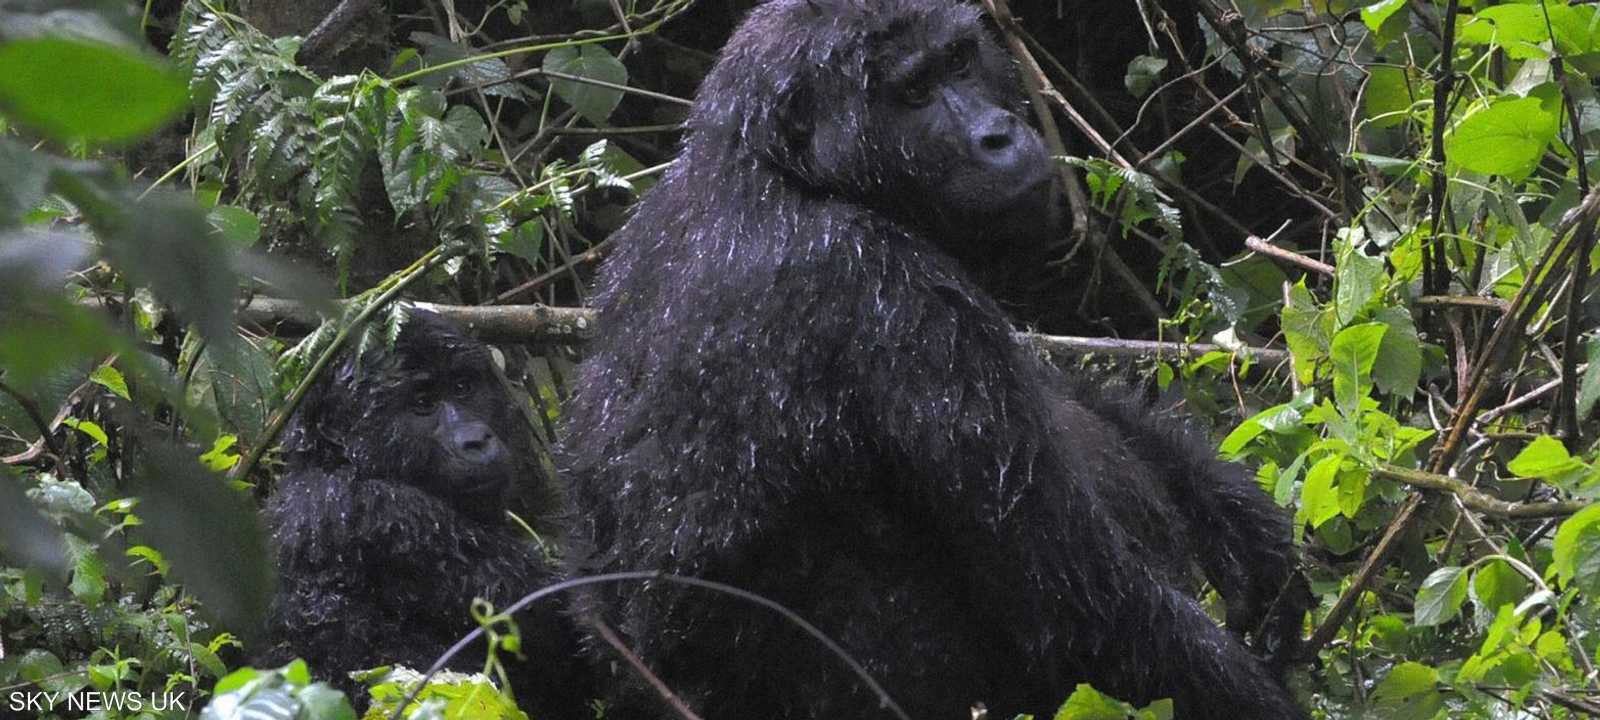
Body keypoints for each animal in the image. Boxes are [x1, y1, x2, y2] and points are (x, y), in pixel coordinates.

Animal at [262, 308, 588, 713]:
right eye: (422, 404)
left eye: (463, 387)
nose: (476, 440)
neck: (335, 461)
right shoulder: (390, 516)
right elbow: (568, 619)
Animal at [563, 1, 1312, 720]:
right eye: (915, 93)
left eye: (960, 61)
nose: (998, 134)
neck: (777, 170)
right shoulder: (884, 294)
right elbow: (1089, 610)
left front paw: (1237, 517)